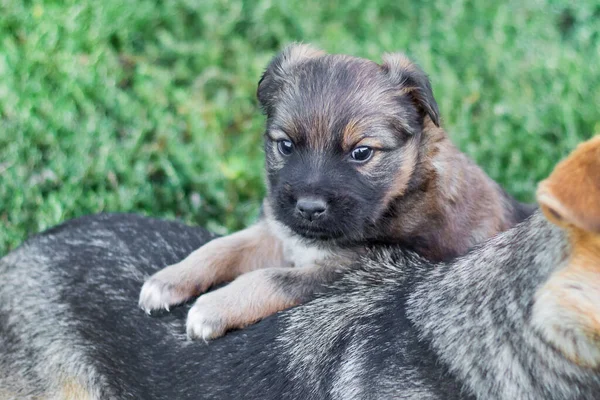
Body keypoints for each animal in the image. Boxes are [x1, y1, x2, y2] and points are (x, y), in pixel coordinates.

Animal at [138, 43, 532, 340]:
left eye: (361, 153)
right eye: (285, 146)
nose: (309, 208)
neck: (402, 193)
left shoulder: (351, 271)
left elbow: (271, 278)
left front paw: (214, 307)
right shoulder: (281, 232)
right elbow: (221, 247)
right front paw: (169, 279)